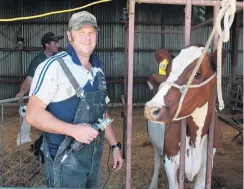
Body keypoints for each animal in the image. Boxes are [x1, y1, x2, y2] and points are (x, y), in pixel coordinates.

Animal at [144, 46, 226, 189]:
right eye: (168, 71)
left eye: (197, 74)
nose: (152, 108)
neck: (195, 137)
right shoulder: (170, 160)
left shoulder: (207, 166)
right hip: (156, 144)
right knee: (157, 159)